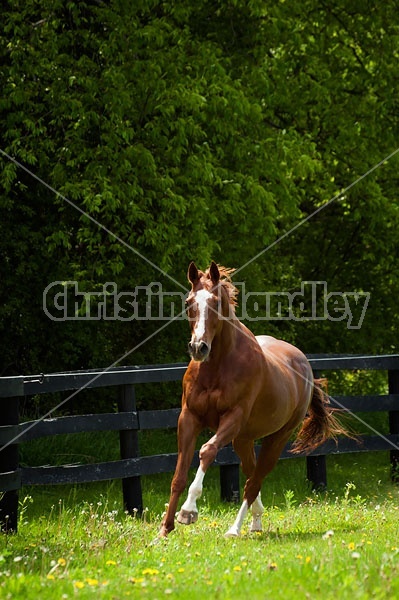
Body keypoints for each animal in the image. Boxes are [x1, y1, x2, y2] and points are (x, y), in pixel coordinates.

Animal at [158, 260, 346, 536]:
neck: (217, 366)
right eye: (188, 301)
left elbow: (207, 451)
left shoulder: (233, 417)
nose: (198, 347)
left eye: (216, 302)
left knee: (255, 480)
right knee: (250, 473)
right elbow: (178, 474)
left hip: (277, 437)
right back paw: (256, 519)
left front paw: (188, 511)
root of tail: (303, 364)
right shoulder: (189, 418)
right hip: (243, 439)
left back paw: (235, 529)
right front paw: (165, 529)